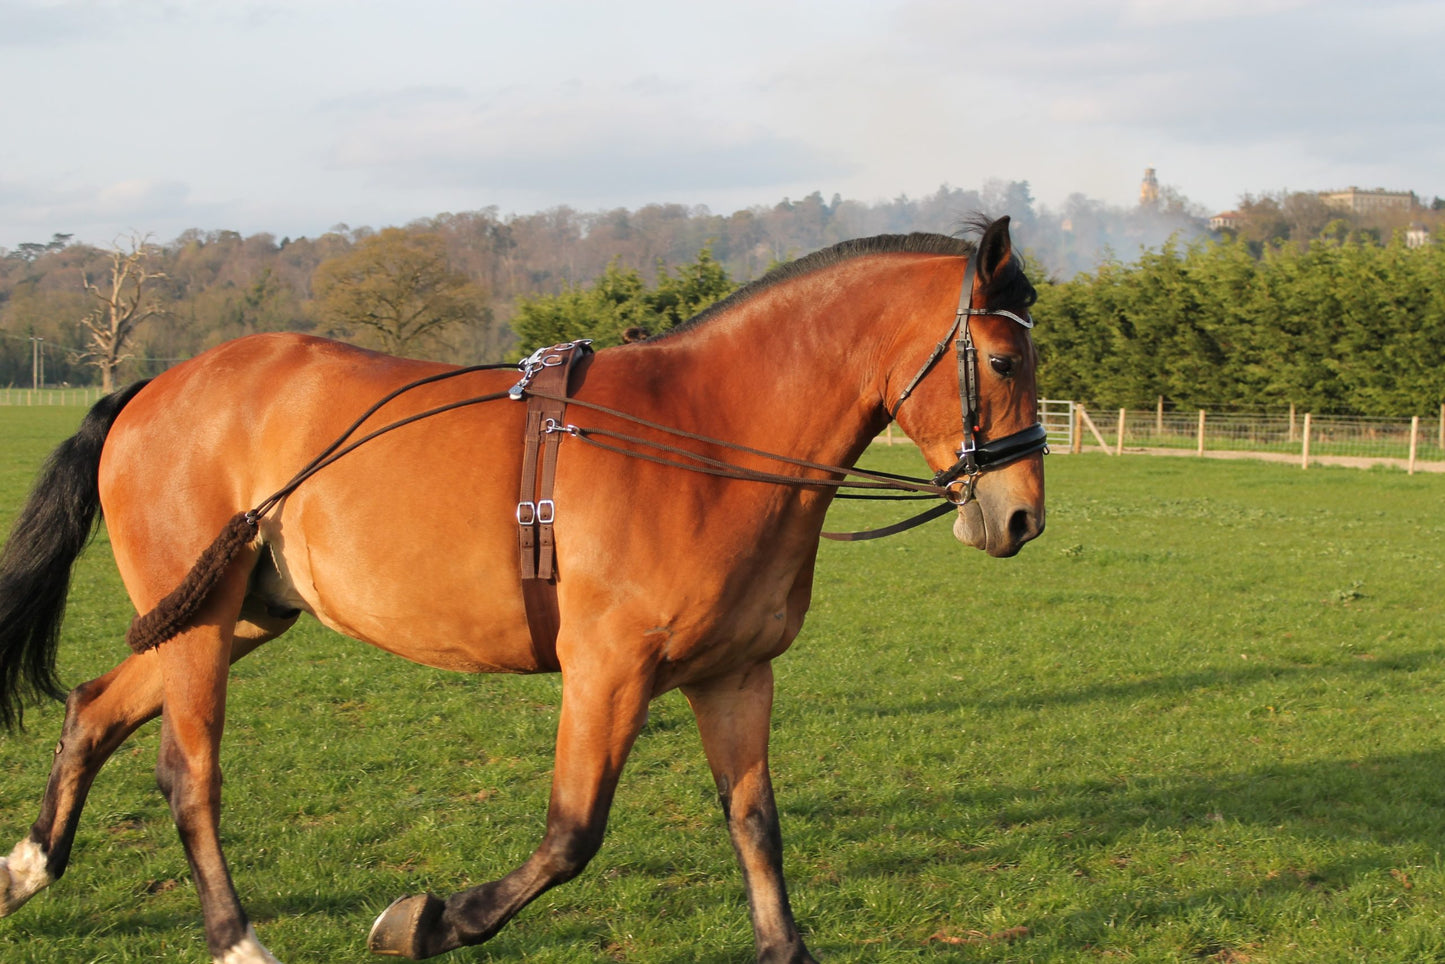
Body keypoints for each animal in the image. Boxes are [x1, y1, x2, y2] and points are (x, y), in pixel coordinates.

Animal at [0, 216, 1045, 963]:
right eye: (1001, 359)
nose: (1021, 517)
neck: (706, 436)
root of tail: (149, 390)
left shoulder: (736, 676)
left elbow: (755, 827)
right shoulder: (607, 670)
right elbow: (571, 836)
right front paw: (427, 921)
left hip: (235, 618)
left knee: (93, 708)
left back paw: (27, 868)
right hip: (205, 629)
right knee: (189, 775)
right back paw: (234, 939)